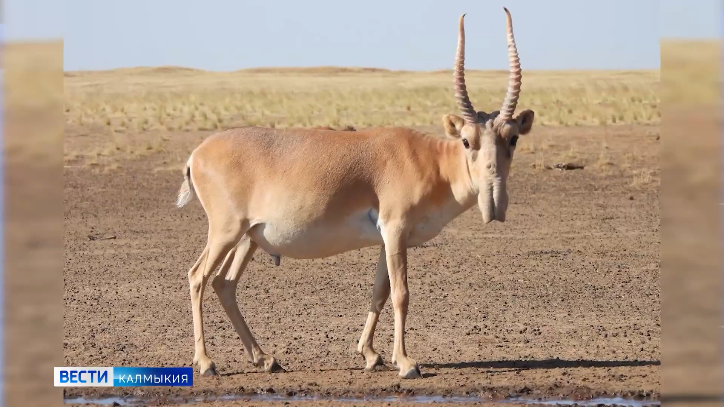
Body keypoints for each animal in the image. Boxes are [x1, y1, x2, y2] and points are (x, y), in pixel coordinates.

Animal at [177, 7, 536, 380]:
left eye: (513, 138)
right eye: (467, 141)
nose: (494, 203)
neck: (433, 160)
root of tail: (196, 155)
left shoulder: (388, 239)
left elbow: (379, 292)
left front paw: (371, 354)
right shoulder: (395, 230)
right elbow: (401, 294)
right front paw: (406, 363)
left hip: (248, 239)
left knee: (224, 284)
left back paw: (266, 359)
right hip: (226, 232)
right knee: (198, 277)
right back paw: (206, 363)